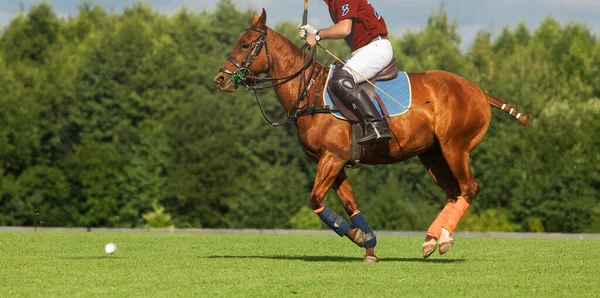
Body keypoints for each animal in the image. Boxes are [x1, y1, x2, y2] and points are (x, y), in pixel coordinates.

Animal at [212, 9, 528, 262]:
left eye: (246, 44)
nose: (221, 79)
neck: (309, 91)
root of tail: (479, 92)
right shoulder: (332, 161)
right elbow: (351, 205)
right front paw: (369, 246)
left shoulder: (332, 157)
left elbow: (315, 199)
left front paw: (358, 238)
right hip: (432, 154)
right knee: (454, 192)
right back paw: (431, 239)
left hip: (455, 147)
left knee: (469, 188)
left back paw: (444, 240)